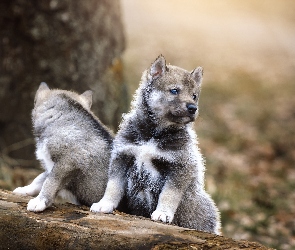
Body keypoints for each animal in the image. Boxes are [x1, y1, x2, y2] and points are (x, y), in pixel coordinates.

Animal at [12, 83, 113, 212]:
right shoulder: (52, 166)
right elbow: (40, 179)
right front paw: (24, 189)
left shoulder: (67, 162)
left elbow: (49, 182)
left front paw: (39, 201)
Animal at [91, 55, 221, 234]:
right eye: (174, 90)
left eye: (194, 96)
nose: (193, 108)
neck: (153, 134)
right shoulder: (122, 157)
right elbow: (113, 186)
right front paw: (104, 204)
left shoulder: (180, 167)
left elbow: (169, 194)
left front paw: (163, 213)